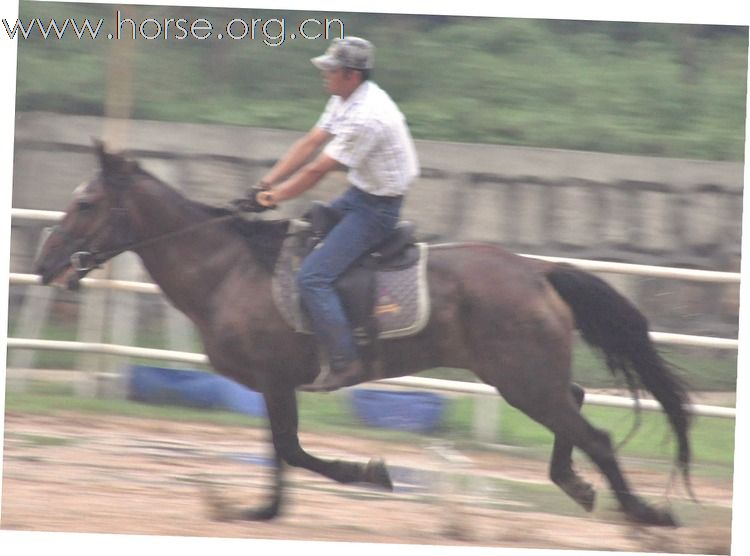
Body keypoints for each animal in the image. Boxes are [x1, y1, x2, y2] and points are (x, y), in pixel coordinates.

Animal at [33, 142, 692, 524]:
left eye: (86, 203)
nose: (44, 263)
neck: (228, 270)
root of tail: (537, 270)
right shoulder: (273, 385)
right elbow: (282, 453)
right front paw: (263, 509)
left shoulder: (276, 380)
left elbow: (291, 450)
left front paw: (366, 474)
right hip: (529, 378)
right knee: (576, 408)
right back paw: (577, 486)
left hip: (521, 380)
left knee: (594, 434)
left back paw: (645, 515)